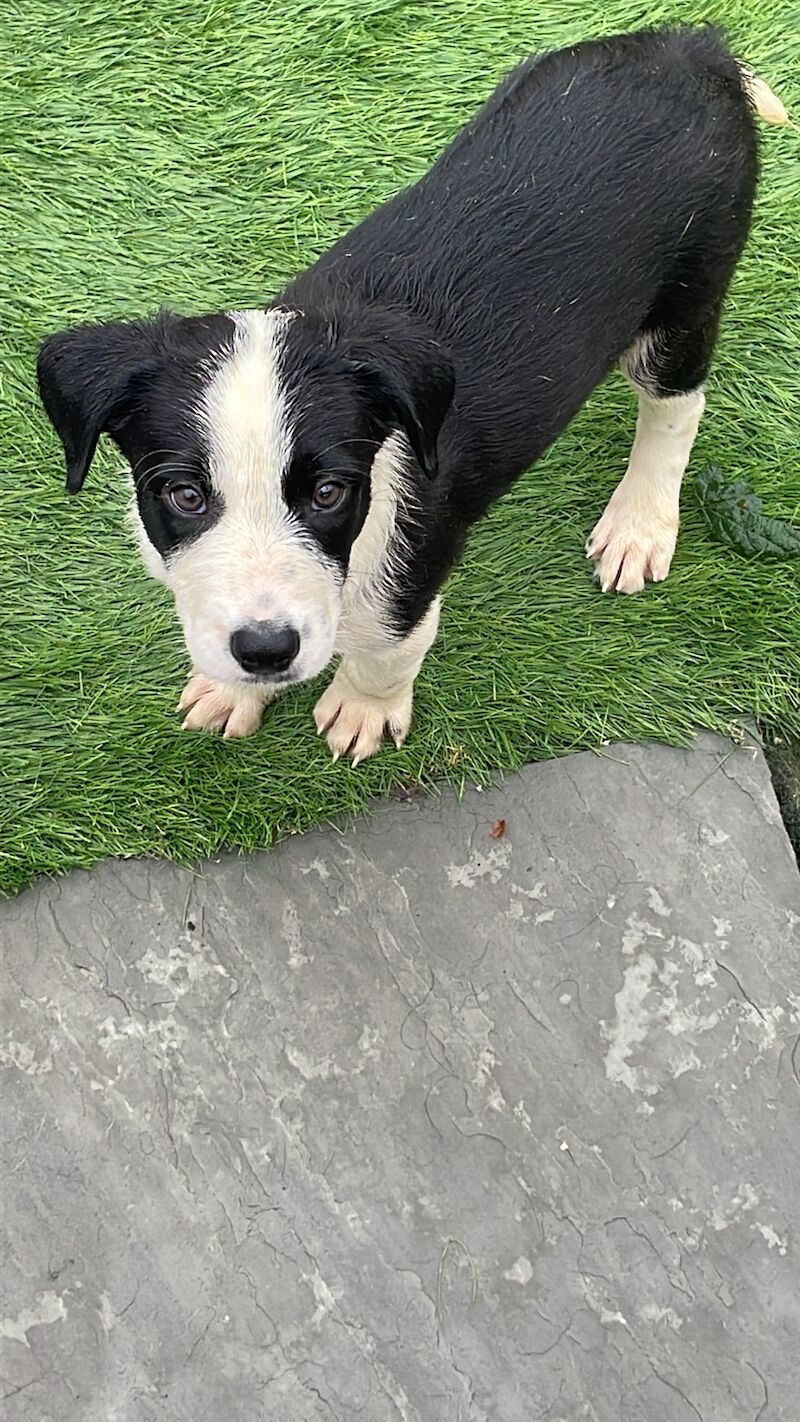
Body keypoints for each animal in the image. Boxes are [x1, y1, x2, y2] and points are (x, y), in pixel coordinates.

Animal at [37, 27, 790, 762]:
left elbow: (389, 648)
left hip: (689, 294)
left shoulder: (411, 571)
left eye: (329, 493)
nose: (265, 650)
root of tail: (693, 46)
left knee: (675, 406)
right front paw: (233, 689)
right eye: (184, 497)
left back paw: (639, 525)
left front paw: (363, 709)